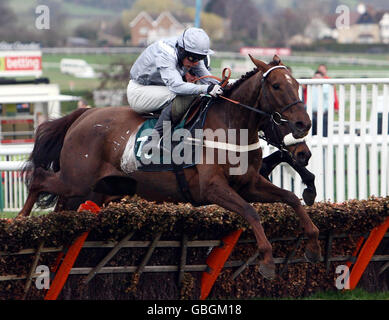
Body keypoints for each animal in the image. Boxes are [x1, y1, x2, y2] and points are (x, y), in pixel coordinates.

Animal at [18, 55, 320, 280]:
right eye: (277, 86)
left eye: (297, 84)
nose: (304, 125)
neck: (230, 126)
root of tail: (84, 113)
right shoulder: (213, 188)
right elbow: (251, 212)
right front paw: (267, 260)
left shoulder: (249, 184)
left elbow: (291, 199)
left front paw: (313, 242)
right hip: (76, 179)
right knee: (39, 178)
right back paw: (20, 220)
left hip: (95, 189)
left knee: (61, 206)